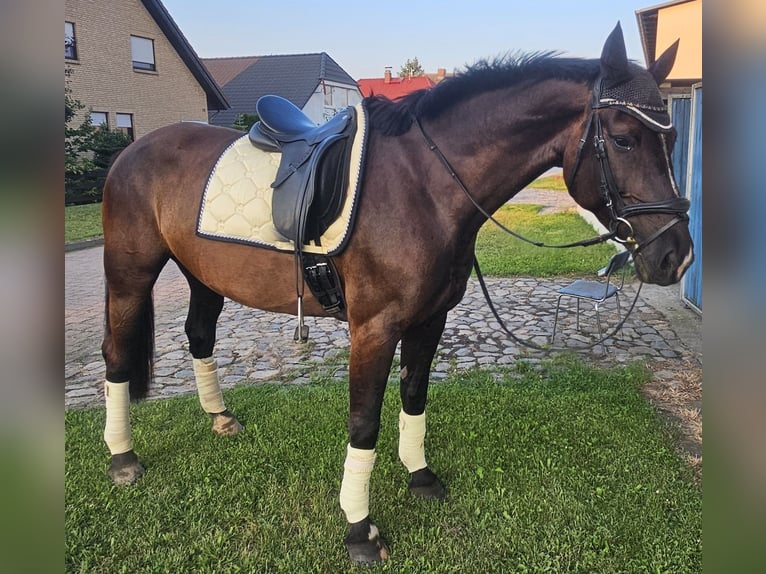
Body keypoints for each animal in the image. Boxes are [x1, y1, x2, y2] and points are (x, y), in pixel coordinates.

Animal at [99, 23, 693, 564]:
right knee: (117, 355)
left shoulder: (430, 319)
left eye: (672, 139)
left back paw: (219, 418)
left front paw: (420, 476)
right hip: (129, 276)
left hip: (203, 276)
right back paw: (122, 458)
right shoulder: (375, 328)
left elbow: (414, 396)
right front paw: (359, 529)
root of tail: (134, 150)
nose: (676, 256)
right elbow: (364, 422)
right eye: (624, 138)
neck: (425, 184)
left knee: (199, 337)